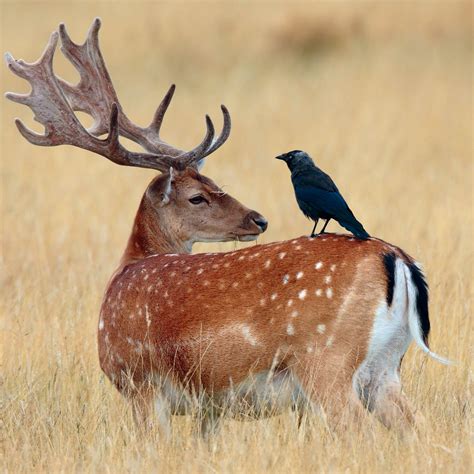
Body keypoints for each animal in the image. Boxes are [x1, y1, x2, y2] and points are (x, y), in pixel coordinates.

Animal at [4, 20, 448, 438]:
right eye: (199, 195)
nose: (258, 218)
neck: (125, 270)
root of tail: (399, 260)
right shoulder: (210, 406)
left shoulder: (140, 383)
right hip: (385, 370)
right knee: (418, 429)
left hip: (327, 361)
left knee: (362, 433)